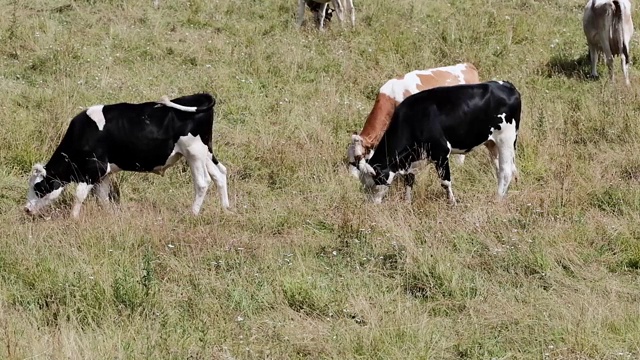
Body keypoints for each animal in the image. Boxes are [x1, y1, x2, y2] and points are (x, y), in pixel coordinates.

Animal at [25, 93, 230, 218]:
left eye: (38, 187)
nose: (26, 209)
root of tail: (197, 96)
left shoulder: (94, 169)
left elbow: (79, 195)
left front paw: (73, 218)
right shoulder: (104, 174)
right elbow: (103, 197)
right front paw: (110, 215)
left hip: (193, 153)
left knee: (203, 182)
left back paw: (193, 213)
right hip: (205, 152)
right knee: (220, 174)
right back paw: (226, 209)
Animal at [358, 82, 524, 205]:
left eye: (374, 184)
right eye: (364, 185)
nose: (371, 205)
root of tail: (507, 85)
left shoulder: (441, 152)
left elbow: (445, 182)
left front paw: (452, 203)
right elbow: (409, 180)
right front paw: (407, 202)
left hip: (506, 139)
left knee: (505, 171)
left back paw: (498, 199)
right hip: (492, 143)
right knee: (503, 169)